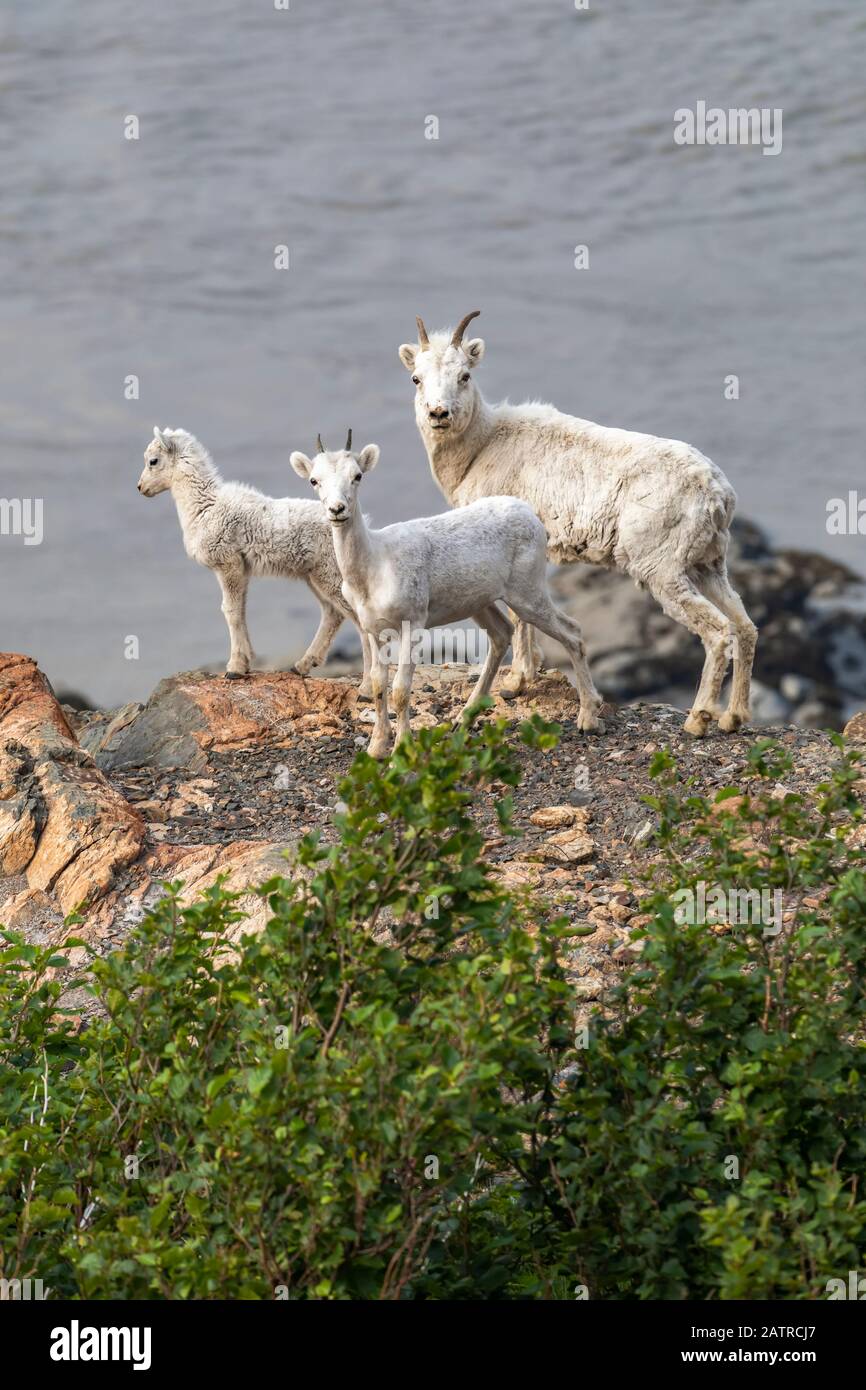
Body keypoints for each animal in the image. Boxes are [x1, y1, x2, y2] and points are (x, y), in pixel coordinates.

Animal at [137, 427, 371, 692]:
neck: (204, 507)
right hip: (315, 577)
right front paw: (246, 663)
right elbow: (240, 610)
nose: (141, 487)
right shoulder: (241, 570)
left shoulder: (228, 565)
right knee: (332, 614)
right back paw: (301, 666)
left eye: (153, 461)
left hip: (332, 576)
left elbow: (230, 610)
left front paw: (235, 668)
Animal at [290, 430, 602, 759]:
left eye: (357, 476)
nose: (337, 510)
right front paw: (376, 748)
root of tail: (532, 515)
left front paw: (402, 749)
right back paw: (463, 720)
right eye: (314, 480)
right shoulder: (371, 629)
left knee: (572, 632)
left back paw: (588, 719)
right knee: (502, 634)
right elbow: (377, 685)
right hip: (480, 603)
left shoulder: (413, 623)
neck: (373, 568)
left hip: (527, 592)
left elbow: (401, 690)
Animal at [398, 311, 757, 737]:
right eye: (416, 378)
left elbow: (519, 618)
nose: (439, 414)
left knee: (718, 632)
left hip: (663, 571)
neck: (481, 447)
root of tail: (717, 493)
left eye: (465, 375)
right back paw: (733, 718)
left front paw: (516, 682)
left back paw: (698, 720)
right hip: (707, 565)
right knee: (744, 626)